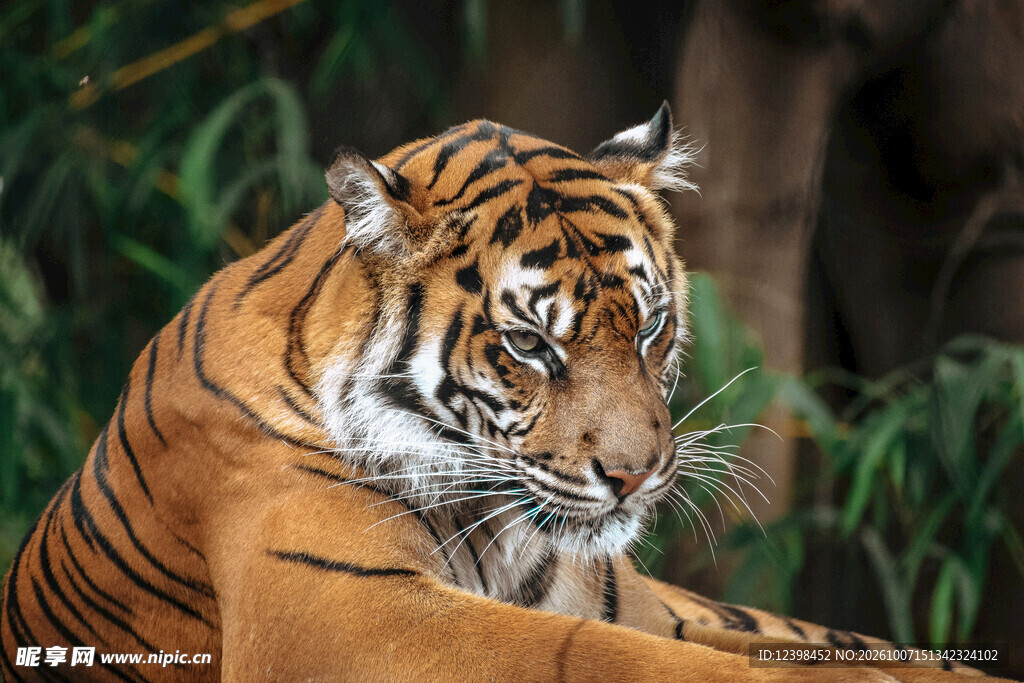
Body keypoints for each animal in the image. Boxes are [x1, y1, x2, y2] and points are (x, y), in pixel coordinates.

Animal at [1, 104, 991, 682]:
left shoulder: (640, 608)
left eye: (649, 327)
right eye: (529, 344)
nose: (637, 476)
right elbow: (602, 658)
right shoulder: (348, 614)